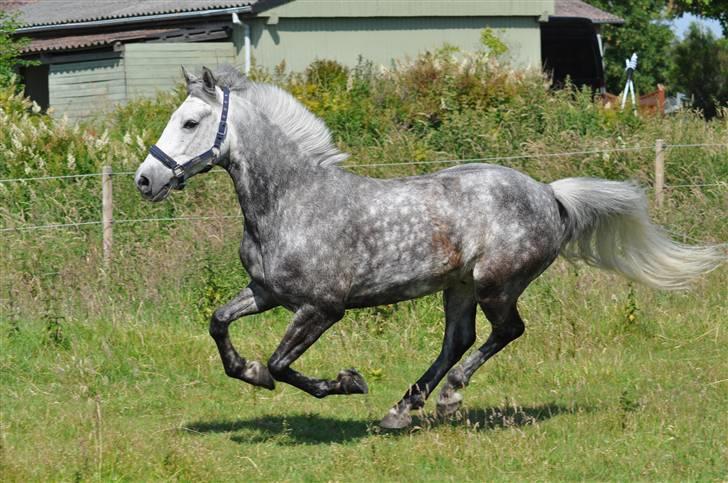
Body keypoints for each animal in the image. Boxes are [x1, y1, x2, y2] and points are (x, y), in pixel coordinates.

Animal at [134, 65, 723, 429]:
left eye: (190, 121)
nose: (144, 180)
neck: (293, 201)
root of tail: (549, 193)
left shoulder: (322, 307)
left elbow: (282, 364)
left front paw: (347, 382)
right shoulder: (266, 292)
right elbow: (218, 323)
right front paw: (248, 371)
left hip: (495, 285)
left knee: (504, 333)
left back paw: (446, 397)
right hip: (457, 286)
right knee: (459, 339)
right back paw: (403, 407)